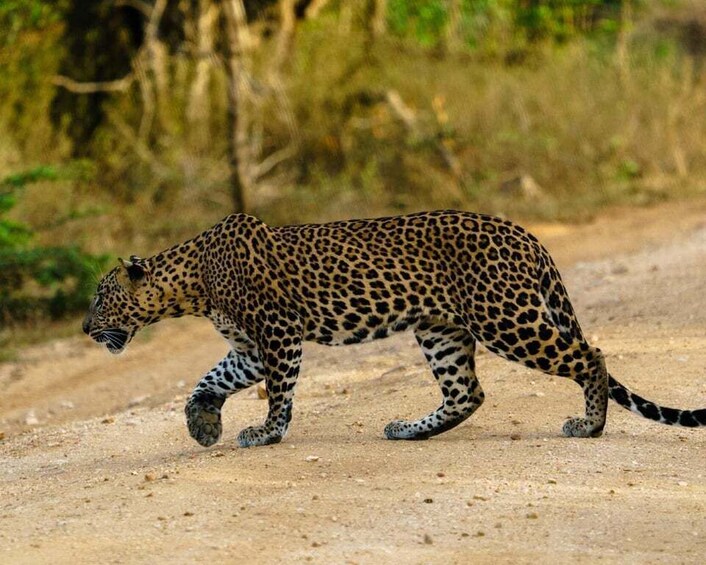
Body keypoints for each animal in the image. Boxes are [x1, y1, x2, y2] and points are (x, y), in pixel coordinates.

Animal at [83, 211, 706, 447]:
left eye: (100, 296)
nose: (85, 328)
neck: (190, 284)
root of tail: (526, 234)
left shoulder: (279, 334)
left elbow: (280, 394)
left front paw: (266, 433)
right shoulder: (249, 348)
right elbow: (208, 380)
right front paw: (203, 424)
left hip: (507, 318)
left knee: (591, 355)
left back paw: (590, 426)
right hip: (441, 329)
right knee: (467, 393)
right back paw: (410, 430)